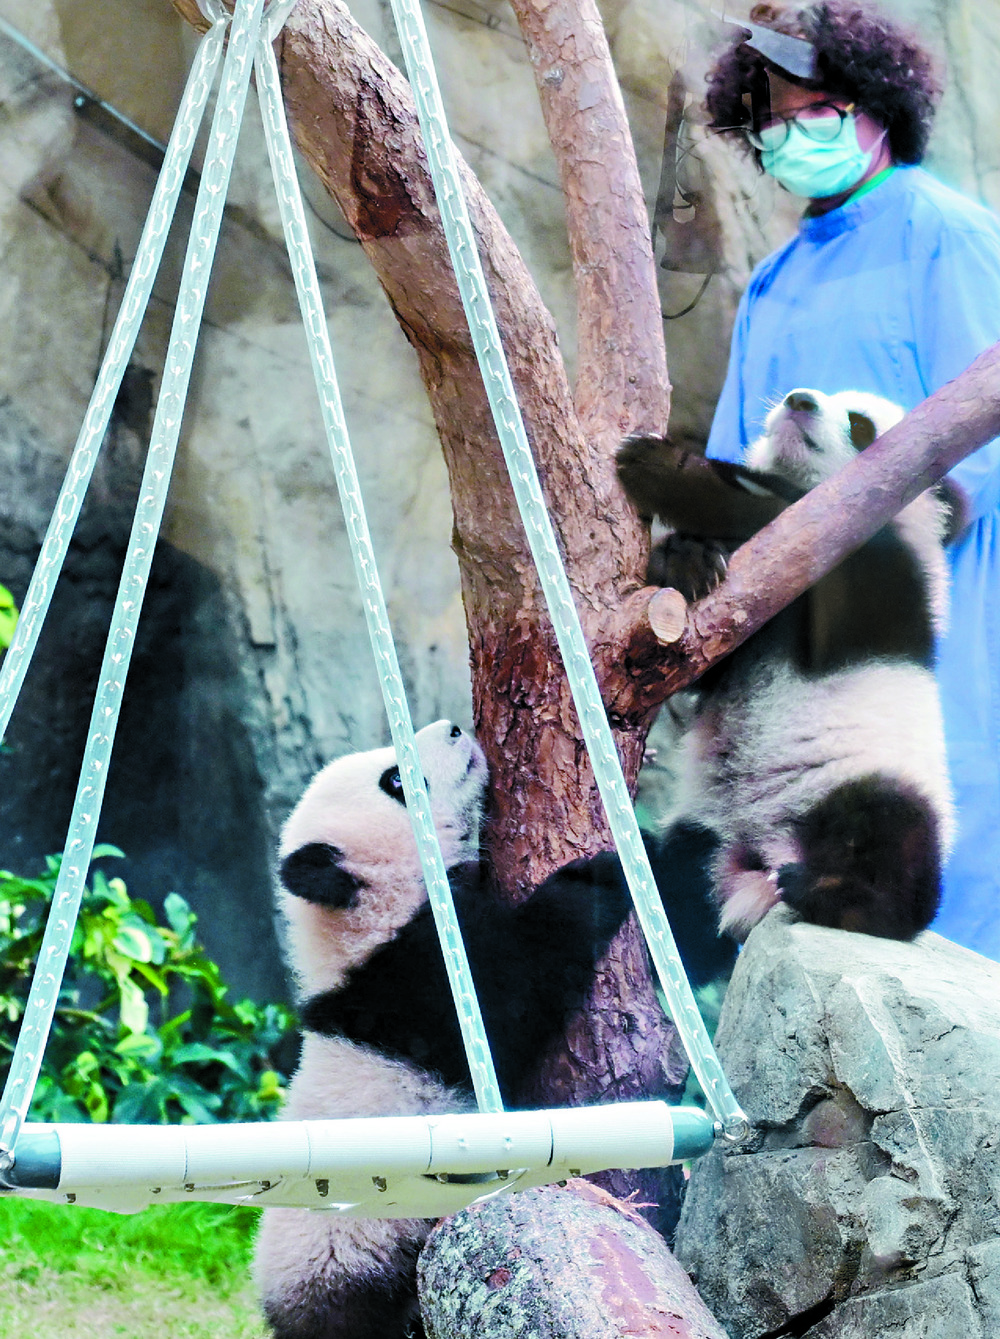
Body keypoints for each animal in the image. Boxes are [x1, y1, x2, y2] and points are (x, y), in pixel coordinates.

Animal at [254, 718, 647, 1339]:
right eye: (395, 778)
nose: (456, 728)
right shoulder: (420, 984)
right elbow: (518, 989)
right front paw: (601, 875)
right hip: (357, 1256)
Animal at [616, 387, 955, 942]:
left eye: (860, 425)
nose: (800, 400)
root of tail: (762, 862)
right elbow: (694, 659)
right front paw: (687, 562)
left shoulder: (880, 566)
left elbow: (790, 519)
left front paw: (659, 465)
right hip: (705, 831)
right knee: (683, 879)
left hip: (860, 782)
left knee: (894, 830)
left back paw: (841, 897)